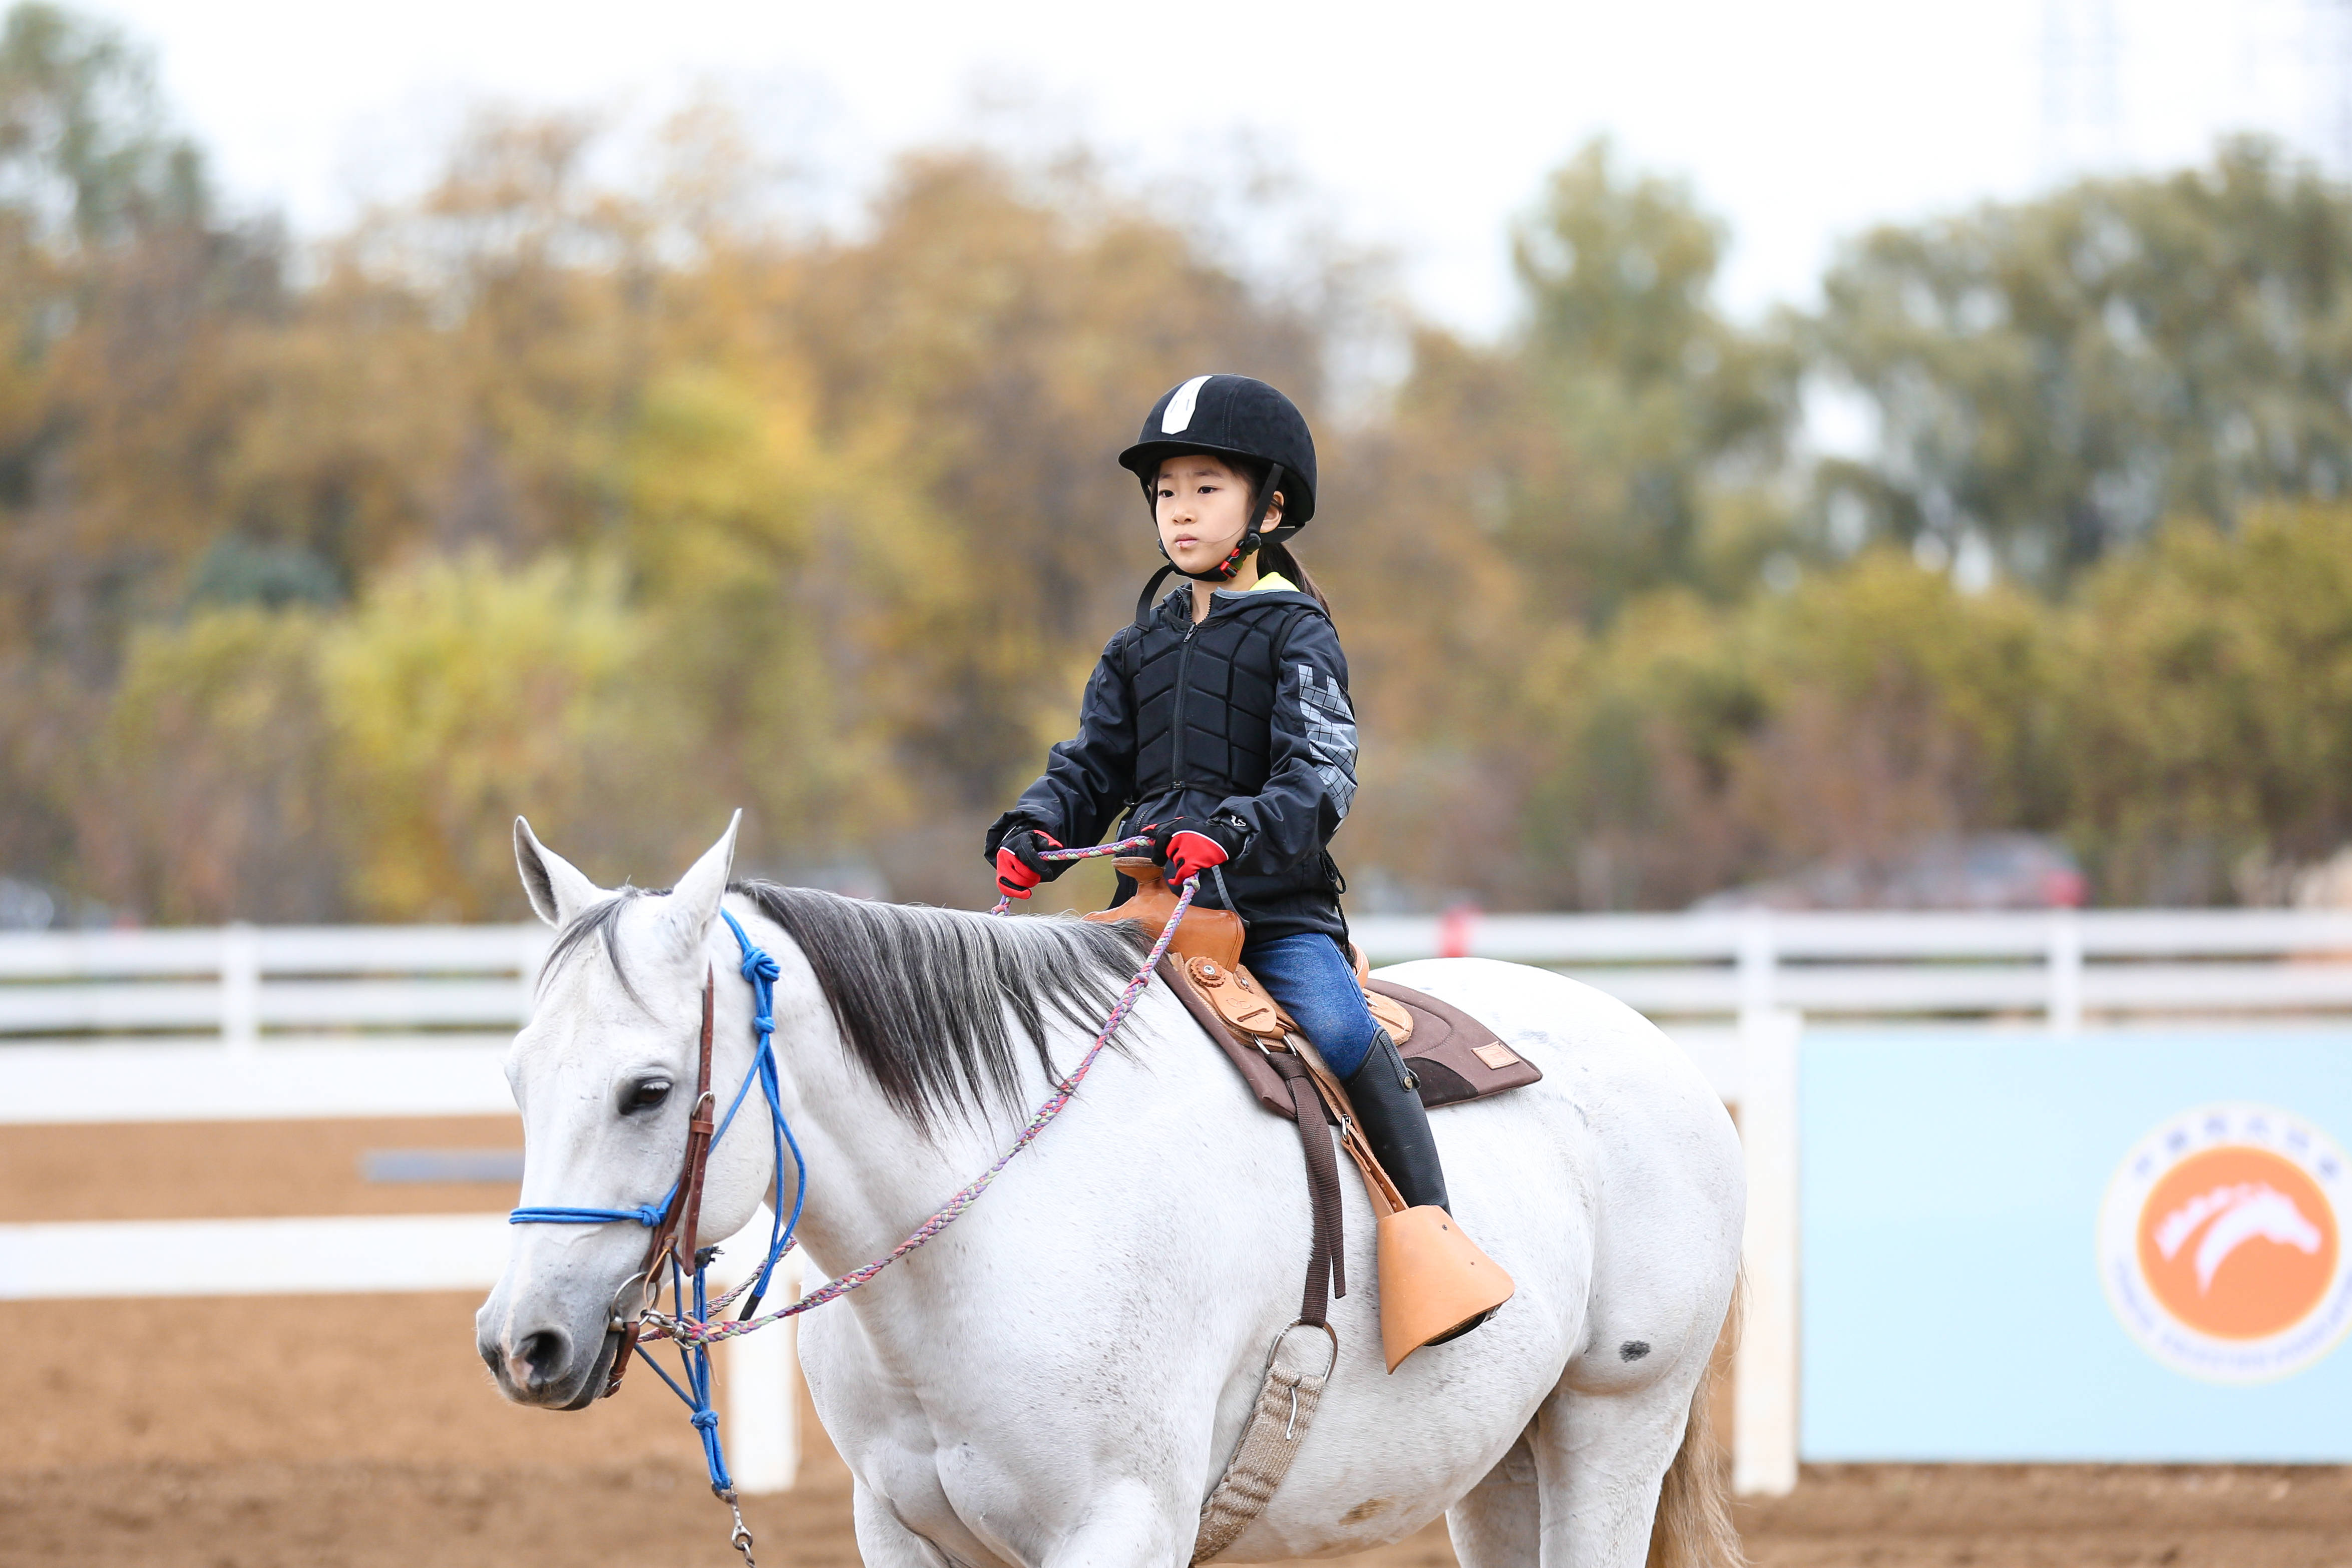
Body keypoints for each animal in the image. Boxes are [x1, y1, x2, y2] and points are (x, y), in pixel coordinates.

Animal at [482, 823, 1750, 1568]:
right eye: (517, 1076)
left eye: (649, 1089)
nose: (520, 1342)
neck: (982, 1238)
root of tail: (1661, 1050)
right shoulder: (898, 1529)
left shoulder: (1120, 1527)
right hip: (1503, 1461)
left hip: (1613, 1421)